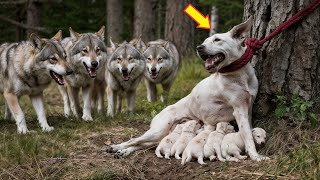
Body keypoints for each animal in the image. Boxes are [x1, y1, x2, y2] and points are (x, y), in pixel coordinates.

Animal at [107, 16, 270, 160]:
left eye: (217, 39)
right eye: (204, 42)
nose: (199, 47)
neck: (239, 75)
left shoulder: (247, 108)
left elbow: (248, 131)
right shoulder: (239, 110)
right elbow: (247, 136)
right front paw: (256, 156)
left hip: (159, 136)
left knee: (140, 145)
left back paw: (123, 152)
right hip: (158, 131)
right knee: (134, 140)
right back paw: (116, 147)